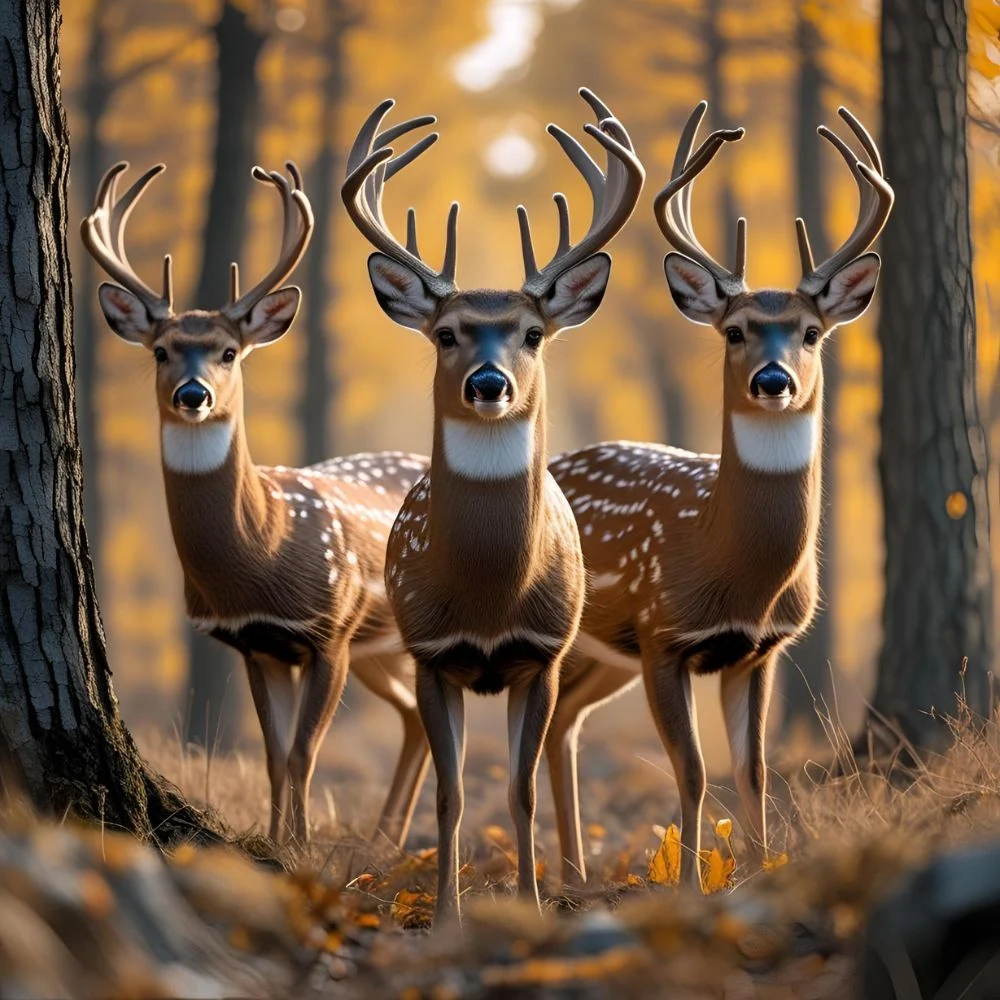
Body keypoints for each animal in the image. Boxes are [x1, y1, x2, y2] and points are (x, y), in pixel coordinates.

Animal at [81, 161, 432, 847]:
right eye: (161, 350)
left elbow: (303, 753)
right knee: (413, 718)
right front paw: (276, 842)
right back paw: (384, 841)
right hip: (379, 649)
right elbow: (274, 754)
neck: (263, 552)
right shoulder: (257, 643)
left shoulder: (330, 630)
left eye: (228, 351)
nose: (193, 394)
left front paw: (299, 848)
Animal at [342, 90, 644, 919]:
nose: (488, 383)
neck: (485, 594)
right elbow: (450, 795)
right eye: (446, 333)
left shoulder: (540, 654)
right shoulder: (430, 651)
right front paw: (446, 912)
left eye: (533, 333)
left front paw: (532, 904)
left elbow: (518, 792)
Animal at [544, 102, 894, 888]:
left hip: (602, 656)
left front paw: (761, 869)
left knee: (563, 725)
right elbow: (694, 769)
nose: (774, 380)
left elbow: (754, 769)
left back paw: (575, 874)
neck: (735, 569)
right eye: (734, 331)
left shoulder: (759, 651)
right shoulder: (662, 634)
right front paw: (688, 883)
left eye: (811, 332)